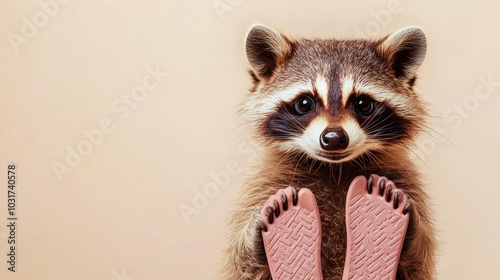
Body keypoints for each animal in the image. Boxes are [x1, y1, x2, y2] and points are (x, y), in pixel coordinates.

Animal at [222, 24, 434, 280]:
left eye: (363, 104)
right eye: (304, 103)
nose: (333, 138)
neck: (334, 168)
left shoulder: (404, 177)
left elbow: (420, 261)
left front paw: (409, 228)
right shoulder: (265, 182)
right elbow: (240, 264)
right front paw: (255, 236)